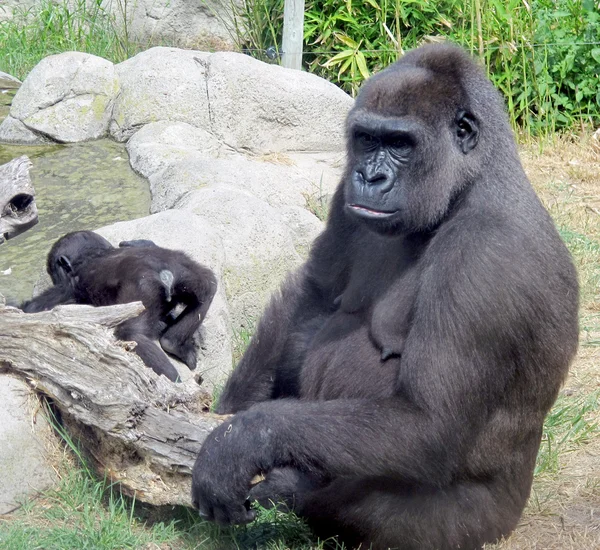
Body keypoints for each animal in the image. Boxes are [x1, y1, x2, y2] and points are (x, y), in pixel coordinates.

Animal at [22, 231, 217, 382]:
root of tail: (166, 274)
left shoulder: (68, 286)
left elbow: (33, 309)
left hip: (143, 289)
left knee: (130, 333)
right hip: (186, 273)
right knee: (209, 288)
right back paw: (174, 344)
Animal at [190, 44, 580, 550]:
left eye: (400, 144)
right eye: (366, 138)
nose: (370, 177)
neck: (466, 186)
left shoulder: (484, 256)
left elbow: (426, 423)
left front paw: (242, 440)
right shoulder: (343, 193)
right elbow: (315, 297)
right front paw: (230, 411)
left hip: (480, 526)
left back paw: (294, 488)